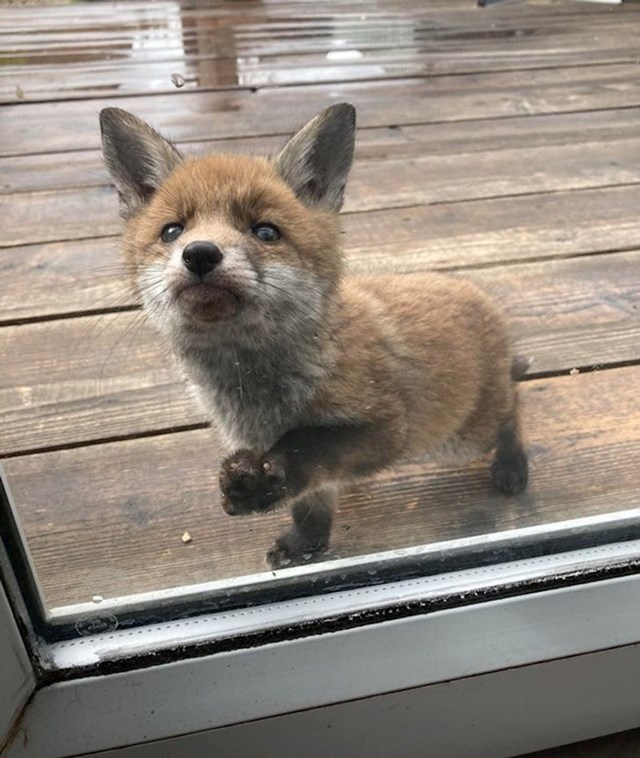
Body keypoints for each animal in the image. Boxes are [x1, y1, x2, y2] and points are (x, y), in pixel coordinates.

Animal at [101, 102, 528, 568]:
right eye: (173, 231)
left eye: (265, 231)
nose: (199, 254)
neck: (254, 394)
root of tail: (477, 294)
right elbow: (309, 504)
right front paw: (307, 543)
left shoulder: (386, 428)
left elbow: (309, 448)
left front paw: (260, 486)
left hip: (460, 438)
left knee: (513, 409)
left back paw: (513, 464)